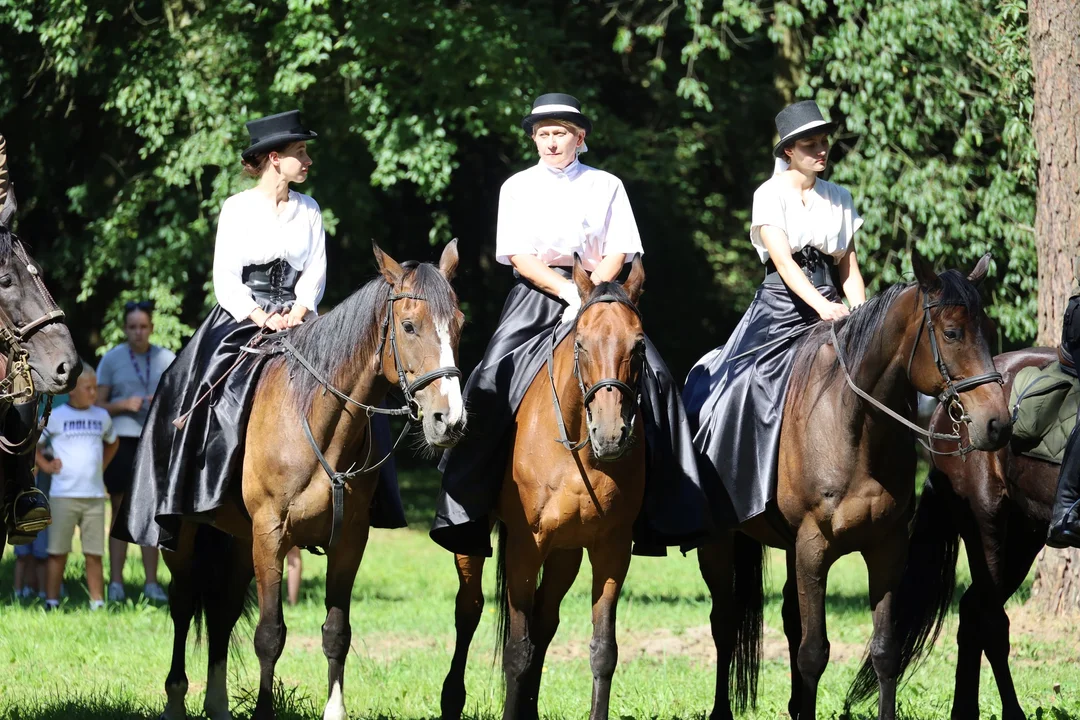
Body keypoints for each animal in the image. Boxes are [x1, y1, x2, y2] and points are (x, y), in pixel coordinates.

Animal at [159, 243, 464, 720]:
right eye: (409, 326)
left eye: (459, 325)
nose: (448, 420)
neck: (317, 423)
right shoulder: (270, 535)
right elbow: (269, 635)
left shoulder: (349, 540)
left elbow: (337, 632)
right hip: (184, 535)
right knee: (184, 602)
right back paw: (176, 698)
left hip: (240, 540)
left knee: (223, 609)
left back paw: (218, 703)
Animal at [440, 257, 643, 720]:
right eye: (581, 344)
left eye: (639, 346)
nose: (611, 435)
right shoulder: (524, 548)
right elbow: (517, 649)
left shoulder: (611, 551)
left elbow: (602, 651)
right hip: (474, 543)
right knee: (469, 610)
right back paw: (451, 700)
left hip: (565, 552)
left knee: (545, 620)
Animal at [699, 254, 1010, 720]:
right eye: (952, 333)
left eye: (988, 333)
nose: (998, 424)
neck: (852, 427)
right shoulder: (813, 548)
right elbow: (813, 653)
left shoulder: (886, 548)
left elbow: (884, 651)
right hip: (717, 544)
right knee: (725, 620)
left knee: (788, 616)